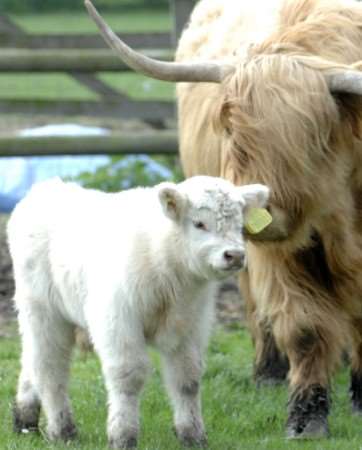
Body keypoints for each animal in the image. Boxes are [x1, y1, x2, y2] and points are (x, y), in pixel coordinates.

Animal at [7, 175, 268, 446]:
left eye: (240, 224)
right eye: (199, 223)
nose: (234, 255)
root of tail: (47, 187)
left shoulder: (191, 324)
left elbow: (187, 377)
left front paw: (192, 435)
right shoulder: (118, 320)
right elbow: (128, 376)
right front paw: (123, 435)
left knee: (32, 360)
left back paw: (25, 421)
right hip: (42, 310)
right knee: (50, 367)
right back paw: (62, 430)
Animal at [86, 0, 362, 440]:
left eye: (309, 135)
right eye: (232, 130)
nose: (254, 212)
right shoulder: (283, 258)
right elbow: (304, 329)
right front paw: (306, 418)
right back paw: (269, 373)